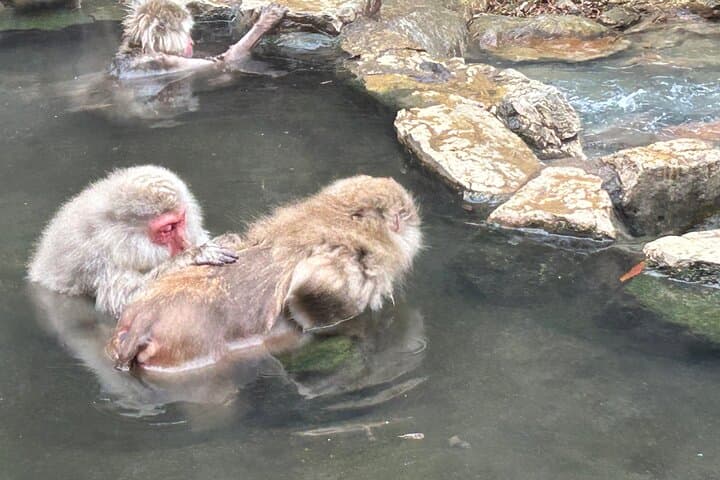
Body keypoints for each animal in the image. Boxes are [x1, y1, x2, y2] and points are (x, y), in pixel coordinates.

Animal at [27, 165, 238, 318]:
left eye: (181, 221)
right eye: (167, 229)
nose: (184, 244)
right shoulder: (100, 259)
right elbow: (127, 302)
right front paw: (195, 255)